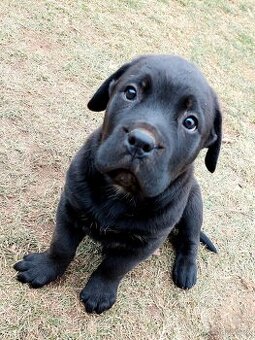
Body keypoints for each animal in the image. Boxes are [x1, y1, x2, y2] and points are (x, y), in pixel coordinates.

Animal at [14, 55, 221, 314]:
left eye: (190, 122)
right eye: (130, 92)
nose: (141, 142)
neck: (121, 192)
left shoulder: (145, 243)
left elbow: (114, 267)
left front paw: (99, 292)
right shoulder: (70, 207)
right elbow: (61, 246)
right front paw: (44, 268)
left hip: (193, 203)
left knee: (190, 239)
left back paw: (187, 269)